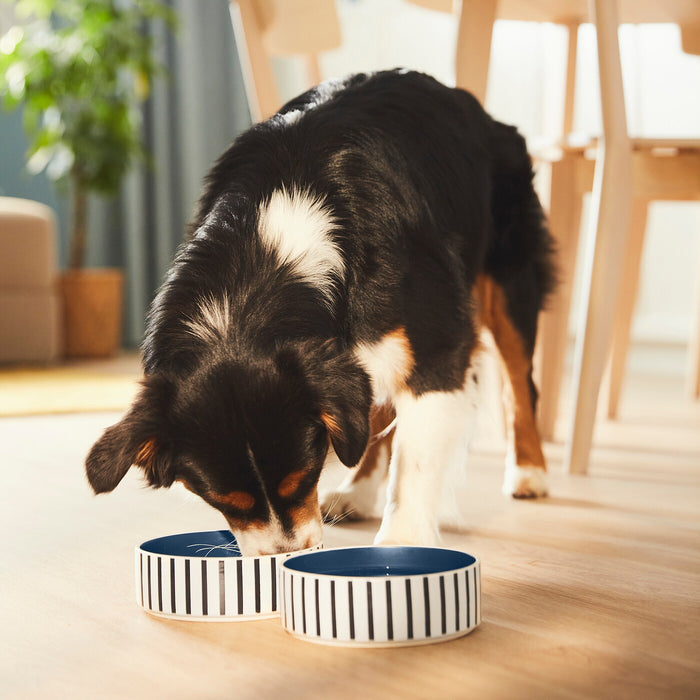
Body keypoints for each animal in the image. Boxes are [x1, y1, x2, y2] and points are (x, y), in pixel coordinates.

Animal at [86, 68, 552, 556]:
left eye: (303, 476)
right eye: (225, 501)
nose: (286, 554)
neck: (257, 266)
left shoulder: (438, 346)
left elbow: (415, 463)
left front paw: (401, 547)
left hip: (510, 277)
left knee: (520, 385)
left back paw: (529, 472)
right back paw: (358, 493)